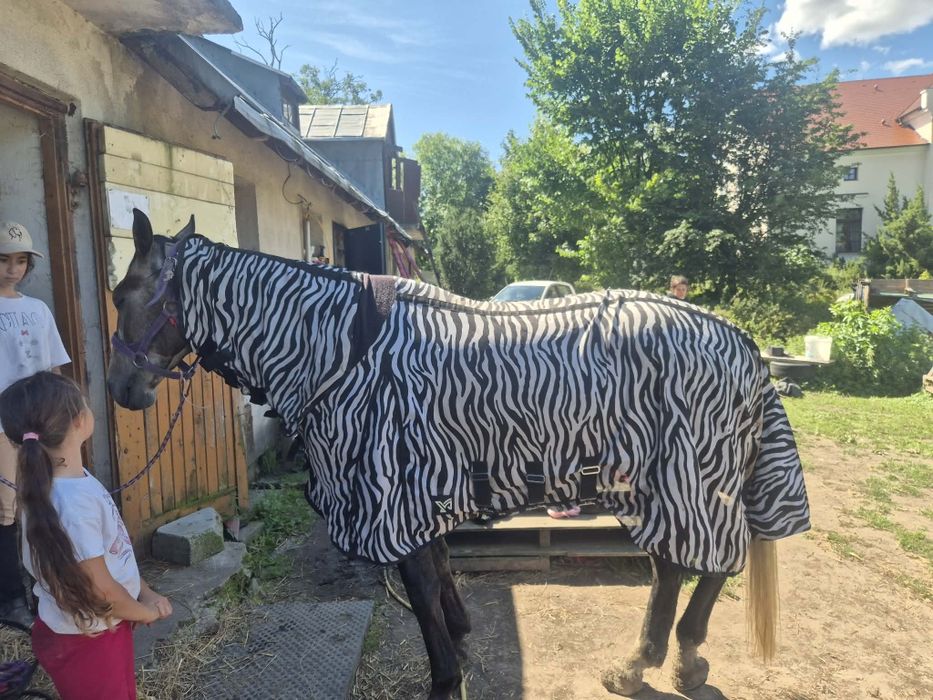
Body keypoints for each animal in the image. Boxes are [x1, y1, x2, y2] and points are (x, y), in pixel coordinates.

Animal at [107, 210, 810, 699]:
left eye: (122, 295)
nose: (121, 389)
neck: (348, 353)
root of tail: (743, 342)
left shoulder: (392, 492)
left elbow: (419, 586)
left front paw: (446, 677)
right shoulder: (419, 489)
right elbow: (440, 568)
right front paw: (463, 636)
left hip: (688, 480)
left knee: (702, 567)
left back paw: (667, 661)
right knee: (675, 569)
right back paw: (656, 662)